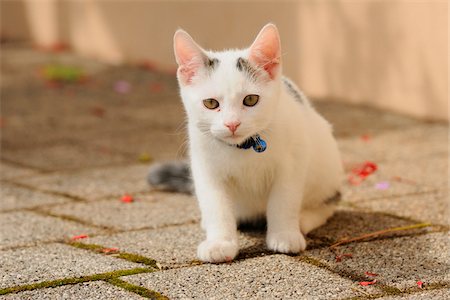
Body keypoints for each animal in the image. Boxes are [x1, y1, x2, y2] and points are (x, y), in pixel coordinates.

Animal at [148, 23, 342, 262]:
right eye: (210, 103)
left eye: (250, 100)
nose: (232, 123)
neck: (243, 148)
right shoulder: (205, 166)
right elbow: (216, 205)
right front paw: (220, 242)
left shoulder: (294, 160)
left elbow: (284, 200)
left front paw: (284, 235)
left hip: (327, 165)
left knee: (330, 201)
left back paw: (304, 218)